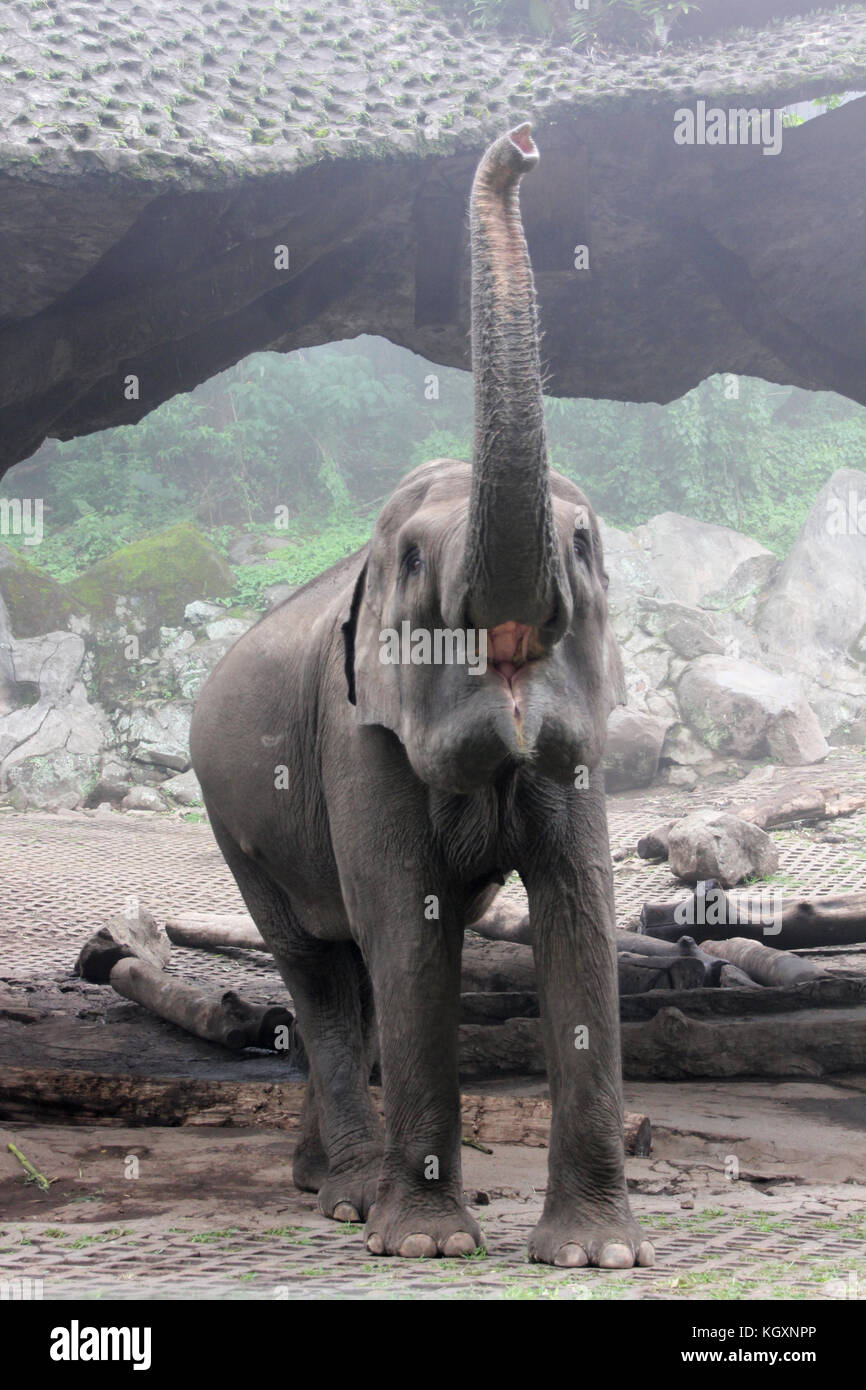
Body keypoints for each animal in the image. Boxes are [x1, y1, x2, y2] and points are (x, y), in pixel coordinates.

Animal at [189, 130, 650, 1273]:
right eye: (407, 561)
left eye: (584, 544)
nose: (524, 143)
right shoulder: (354, 735)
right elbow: (411, 924)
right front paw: (431, 1247)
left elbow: (578, 912)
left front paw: (593, 1256)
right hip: (234, 826)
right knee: (318, 967)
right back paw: (351, 1196)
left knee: (346, 969)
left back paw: (324, 1182)